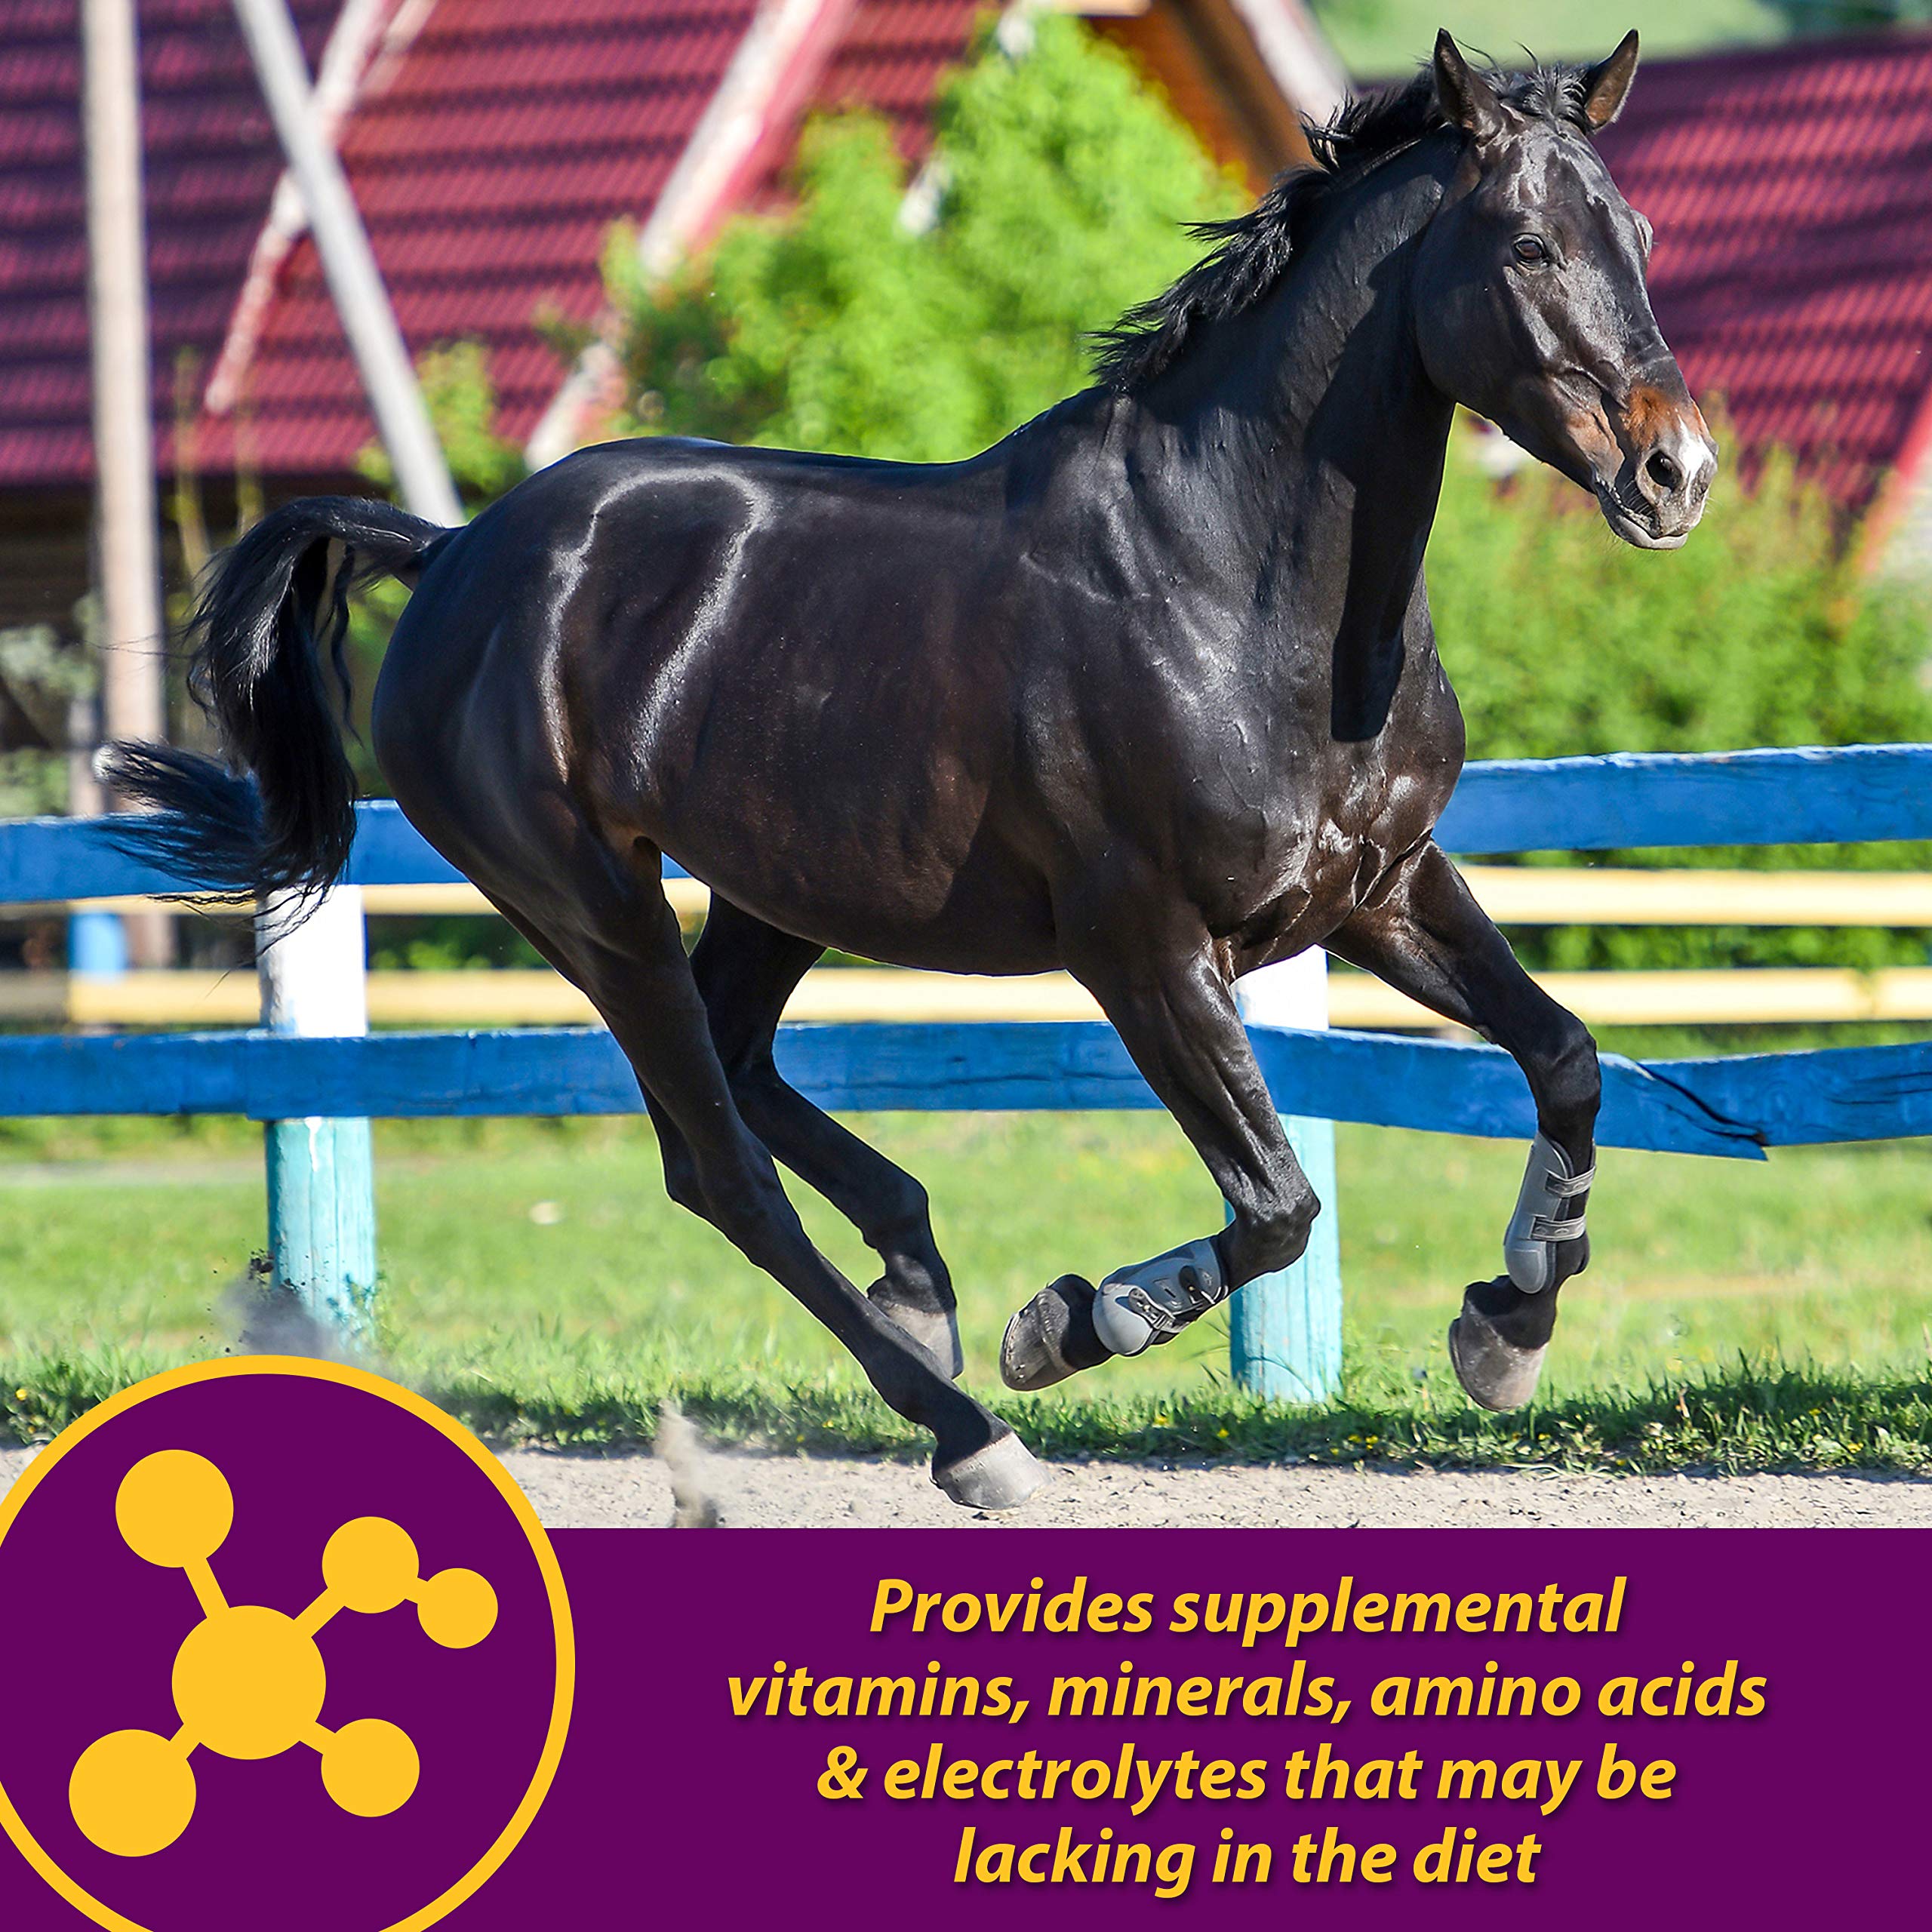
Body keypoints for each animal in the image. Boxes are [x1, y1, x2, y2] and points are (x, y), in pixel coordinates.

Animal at [107, 32, 1714, 1511]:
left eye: (1636, 236)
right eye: (1527, 245)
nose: (1676, 475)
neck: (1235, 585)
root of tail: (450, 554)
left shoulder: (1379, 891)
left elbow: (1565, 1057)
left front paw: (1507, 1322)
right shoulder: (1143, 948)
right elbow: (1277, 1204)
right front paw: (1072, 1323)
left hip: (771, 893)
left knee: (740, 1072)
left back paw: (916, 1279)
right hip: (591, 906)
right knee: (720, 1170)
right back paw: (971, 1426)